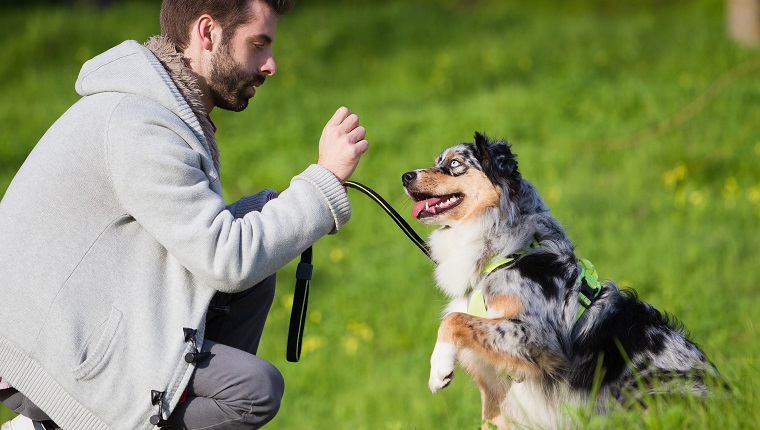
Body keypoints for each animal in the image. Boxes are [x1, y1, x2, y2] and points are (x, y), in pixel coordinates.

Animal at [400, 133, 720, 428]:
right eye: (436, 162)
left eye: (455, 164)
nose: (405, 176)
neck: (503, 251)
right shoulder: (495, 389)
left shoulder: (539, 338)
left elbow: (453, 320)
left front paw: (438, 369)